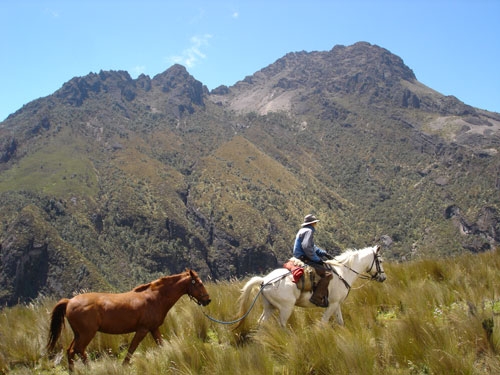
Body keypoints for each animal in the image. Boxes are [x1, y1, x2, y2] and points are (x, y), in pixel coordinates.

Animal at [46, 268, 209, 372]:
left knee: (71, 351)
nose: (208, 300)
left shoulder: (153, 328)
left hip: (79, 334)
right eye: (199, 283)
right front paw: (124, 366)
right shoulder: (143, 329)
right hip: (87, 334)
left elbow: (160, 344)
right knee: (79, 350)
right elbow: (132, 348)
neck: (155, 298)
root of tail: (69, 301)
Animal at [234, 245, 386, 328]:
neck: (343, 272)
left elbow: (340, 322)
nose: (383, 278)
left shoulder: (337, 304)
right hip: (286, 308)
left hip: (269, 307)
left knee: (261, 323)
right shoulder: (332, 304)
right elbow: (323, 322)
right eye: (380, 261)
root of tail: (264, 280)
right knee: (281, 325)